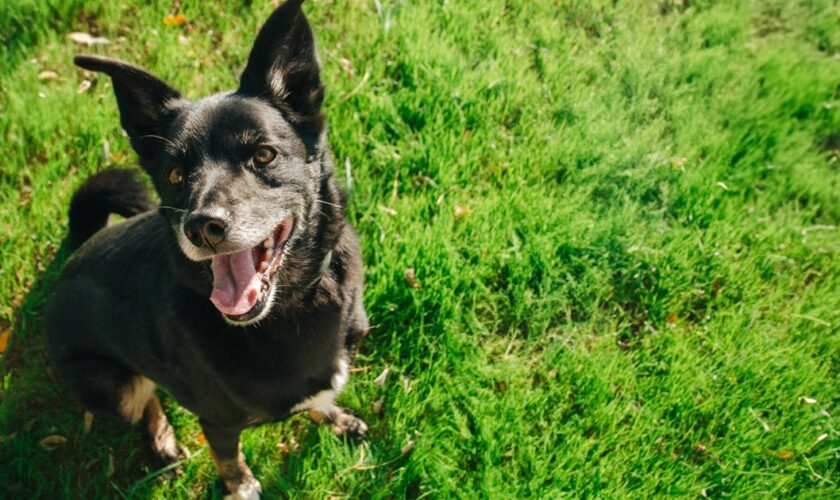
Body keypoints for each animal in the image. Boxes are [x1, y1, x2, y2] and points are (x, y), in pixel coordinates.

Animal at [44, 1, 368, 498]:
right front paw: (241, 487)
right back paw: (162, 440)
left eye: (263, 155)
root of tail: (72, 256)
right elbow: (228, 458)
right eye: (175, 174)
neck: (293, 306)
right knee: (145, 397)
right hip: (113, 386)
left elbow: (319, 399)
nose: (201, 228)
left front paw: (334, 418)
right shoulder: (217, 422)